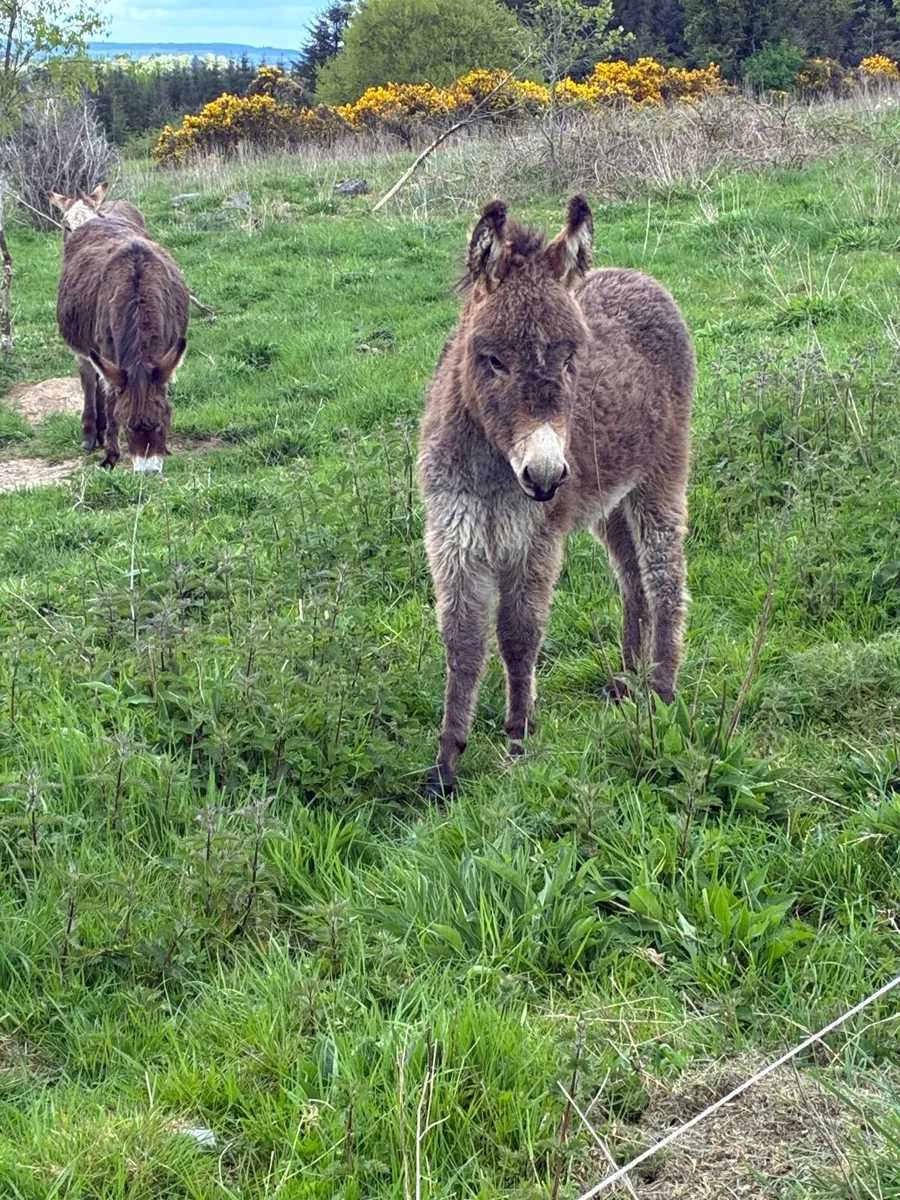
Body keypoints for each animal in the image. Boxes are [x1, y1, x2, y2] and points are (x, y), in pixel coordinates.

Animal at [417, 196, 695, 797]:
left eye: (571, 360)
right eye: (494, 360)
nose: (545, 477)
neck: (492, 469)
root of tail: (640, 276)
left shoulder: (534, 541)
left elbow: (518, 637)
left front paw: (518, 742)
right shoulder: (454, 539)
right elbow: (462, 642)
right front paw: (446, 766)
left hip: (660, 475)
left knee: (664, 576)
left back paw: (661, 691)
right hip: (606, 500)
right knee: (631, 579)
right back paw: (628, 680)